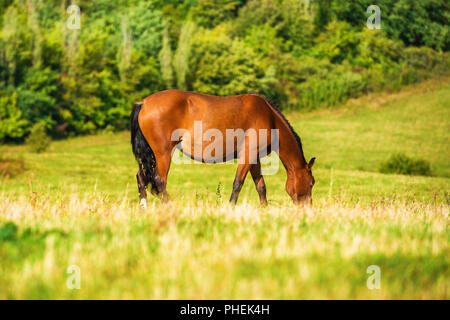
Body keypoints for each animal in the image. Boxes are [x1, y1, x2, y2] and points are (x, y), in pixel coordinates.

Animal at [131, 89, 316, 208]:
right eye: (312, 183)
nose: (308, 207)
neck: (269, 117)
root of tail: (143, 103)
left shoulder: (254, 157)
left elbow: (260, 185)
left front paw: (265, 208)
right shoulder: (248, 154)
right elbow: (238, 183)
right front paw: (231, 206)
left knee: (141, 178)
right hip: (163, 153)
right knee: (159, 180)